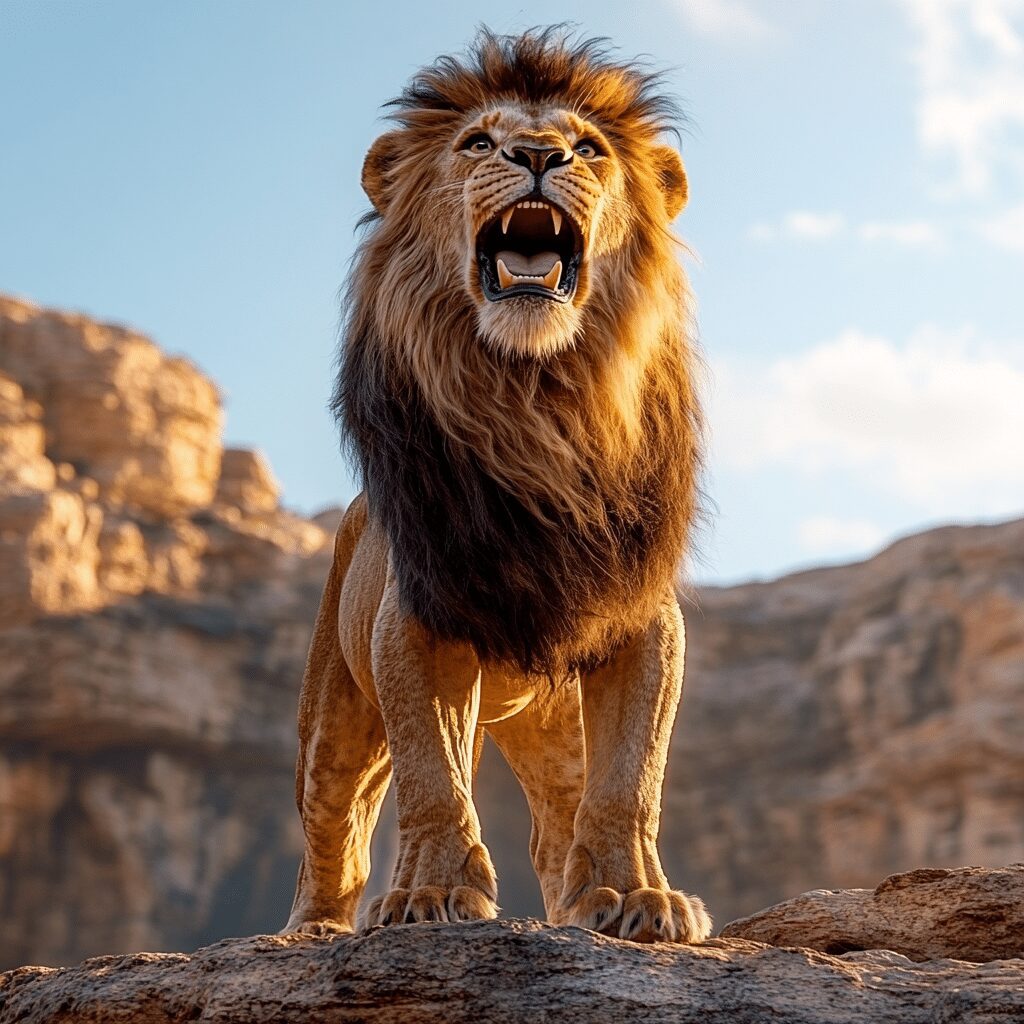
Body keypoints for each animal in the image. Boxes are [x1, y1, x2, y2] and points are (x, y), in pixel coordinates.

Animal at [282, 27, 711, 945]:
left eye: (589, 149)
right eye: (478, 143)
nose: (541, 154)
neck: (537, 401)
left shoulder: (641, 620)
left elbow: (630, 783)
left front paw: (639, 898)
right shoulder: (416, 620)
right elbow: (432, 778)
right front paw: (428, 897)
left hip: (551, 722)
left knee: (560, 823)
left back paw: (583, 901)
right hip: (334, 719)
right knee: (333, 831)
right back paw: (314, 930)